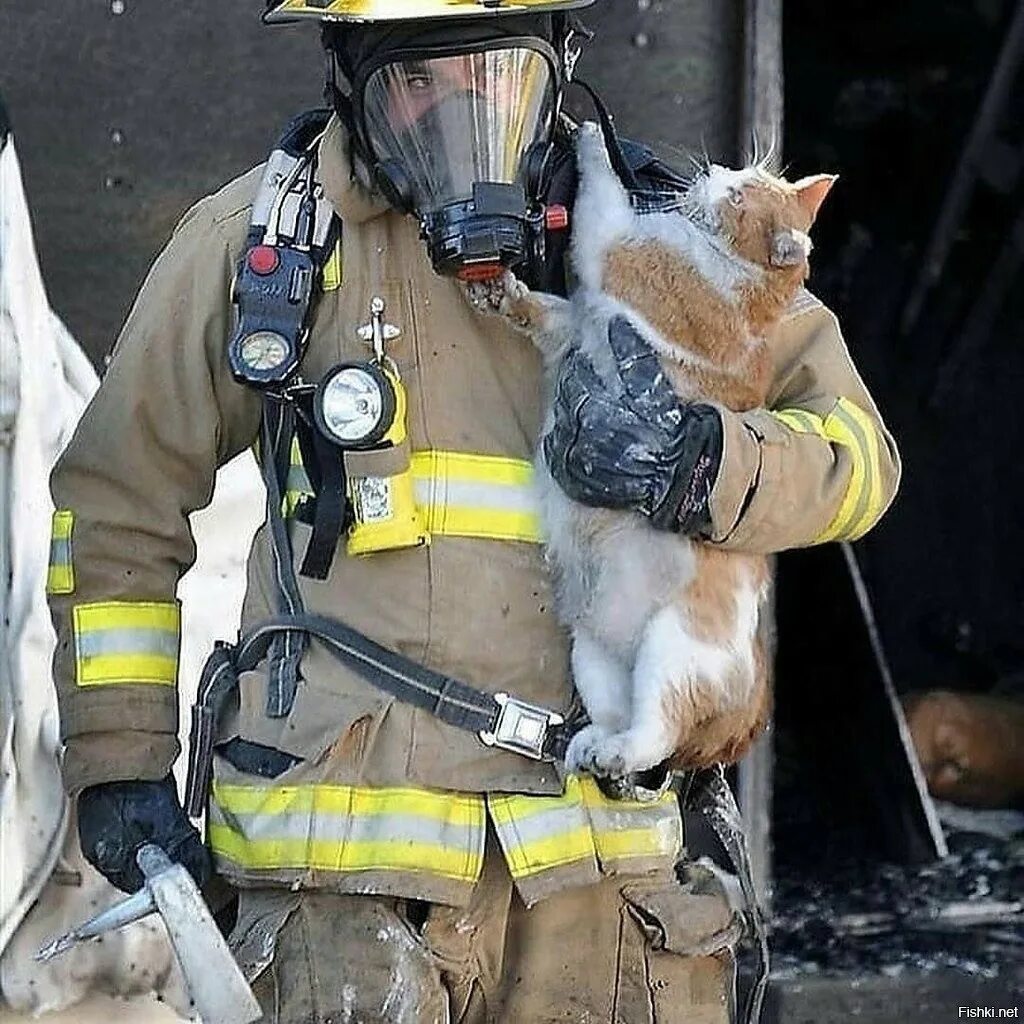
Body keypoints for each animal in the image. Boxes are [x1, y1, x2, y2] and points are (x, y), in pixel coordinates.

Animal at [468, 121, 835, 774]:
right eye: (743, 178)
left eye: (738, 195)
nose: (716, 171)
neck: (741, 282)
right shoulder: (573, 324)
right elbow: (543, 312)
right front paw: (504, 296)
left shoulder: (614, 248)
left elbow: (603, 197)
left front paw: (590, 138)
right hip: (593, 655)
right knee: (622, 717)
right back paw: (592, 747)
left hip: (675, 653)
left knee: (657, 732)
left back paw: (617, 753)